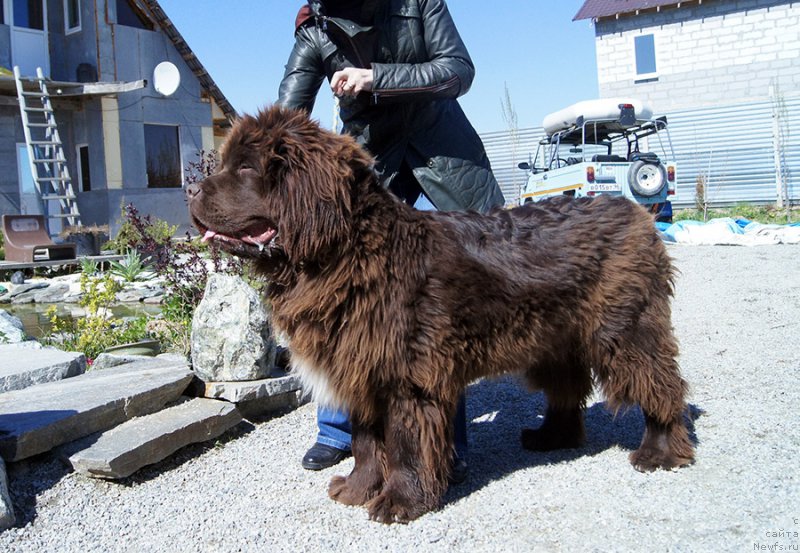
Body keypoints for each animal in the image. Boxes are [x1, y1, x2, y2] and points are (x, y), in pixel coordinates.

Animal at [188, 106, 692, 520]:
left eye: (246, 168)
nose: (190, 188)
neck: (351, 252)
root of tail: (639, 214)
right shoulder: (362, 368)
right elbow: (366, 442)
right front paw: (357, 490)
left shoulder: (408, 376)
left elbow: (406, 445)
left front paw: (398, 502)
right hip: (556, 339)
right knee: (567, 389)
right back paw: (552, 437)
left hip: (626, 332)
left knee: (660, 389)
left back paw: (660, 453)